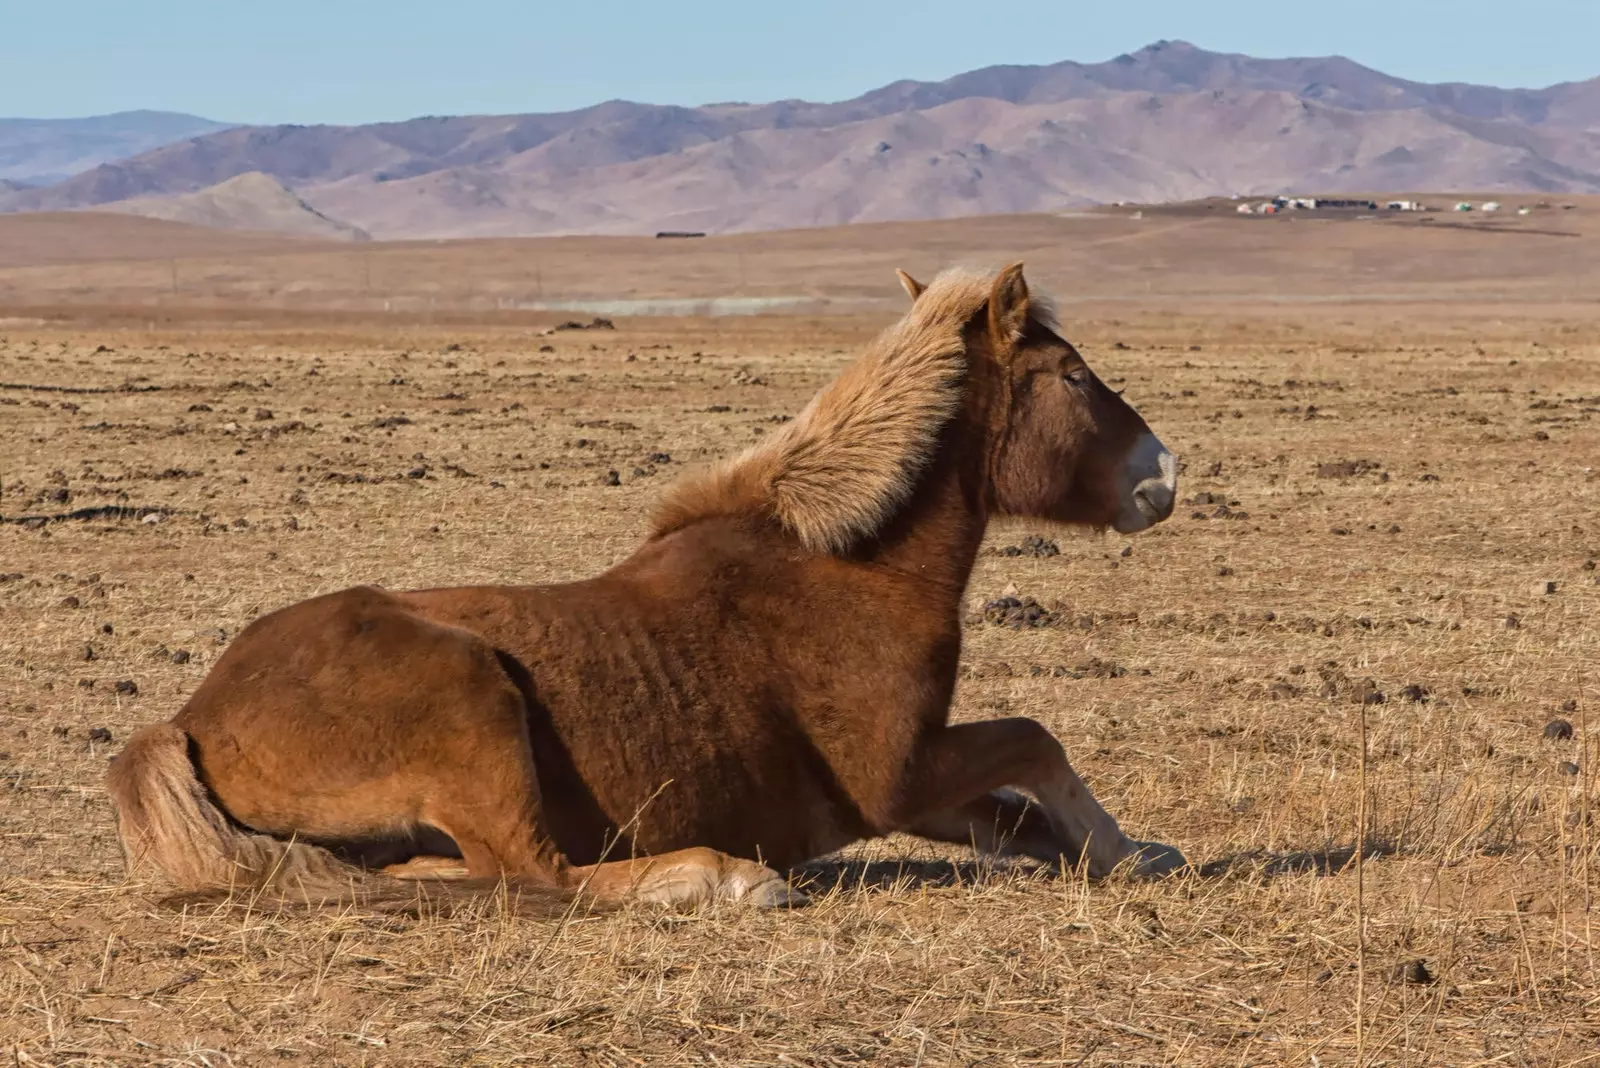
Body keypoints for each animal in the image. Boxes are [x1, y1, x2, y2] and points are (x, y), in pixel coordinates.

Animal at [106, 265, 1190, 908]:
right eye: (1074, 377)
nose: (1164, 476)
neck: (846, 566)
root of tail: (189, 719)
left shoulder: (915, 792)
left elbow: (1019, 816)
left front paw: (1125, 853)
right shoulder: (899, 773)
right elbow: (1035, 742)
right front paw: (1125, 848)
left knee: (464, 868)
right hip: (473, 698)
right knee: (544, 872)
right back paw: (724, 881)